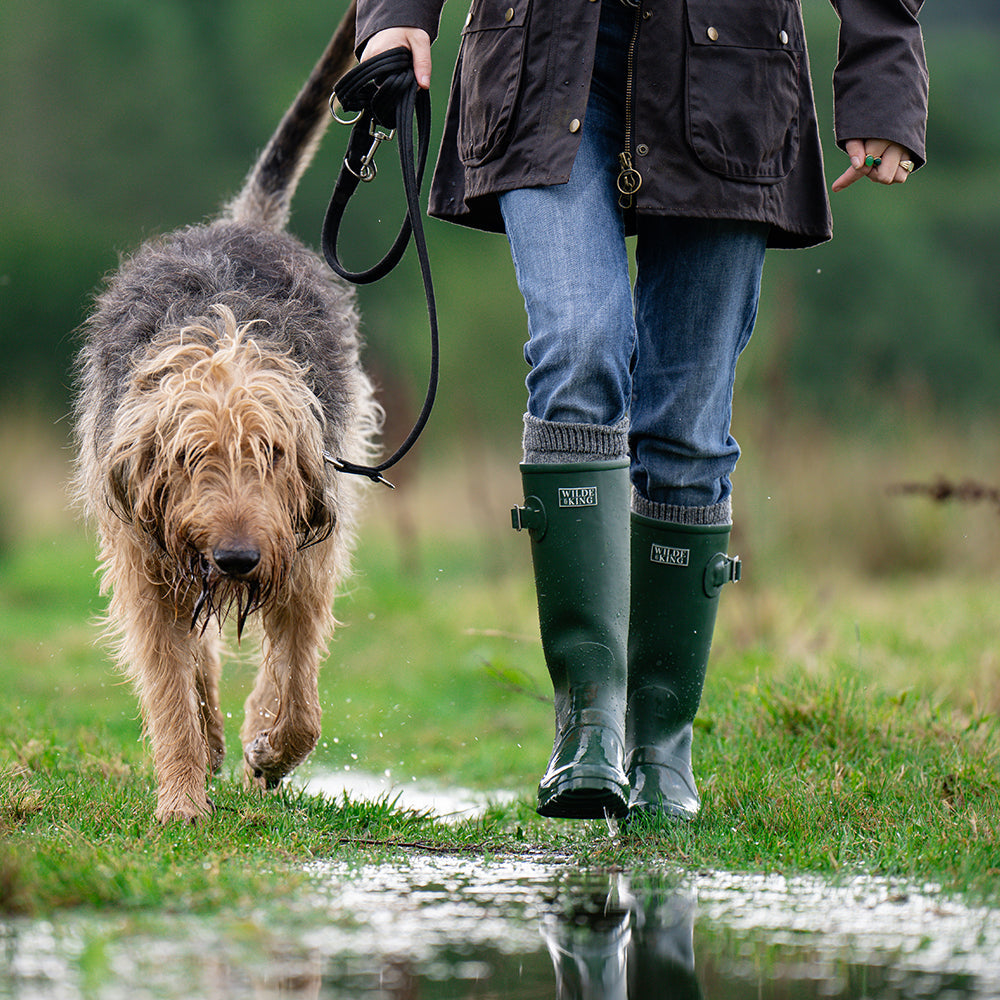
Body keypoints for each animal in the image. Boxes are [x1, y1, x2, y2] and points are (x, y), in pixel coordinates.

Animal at [74, 3, 382, 824]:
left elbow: (299, 684)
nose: (238, 559)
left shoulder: (304, 548)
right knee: (197, 653)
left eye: (270, 455)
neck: (224, 345)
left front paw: (269, 749)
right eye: (190, 459)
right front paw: (182, 798)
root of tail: (244, 223)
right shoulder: (143, 561)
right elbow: (168, 688)